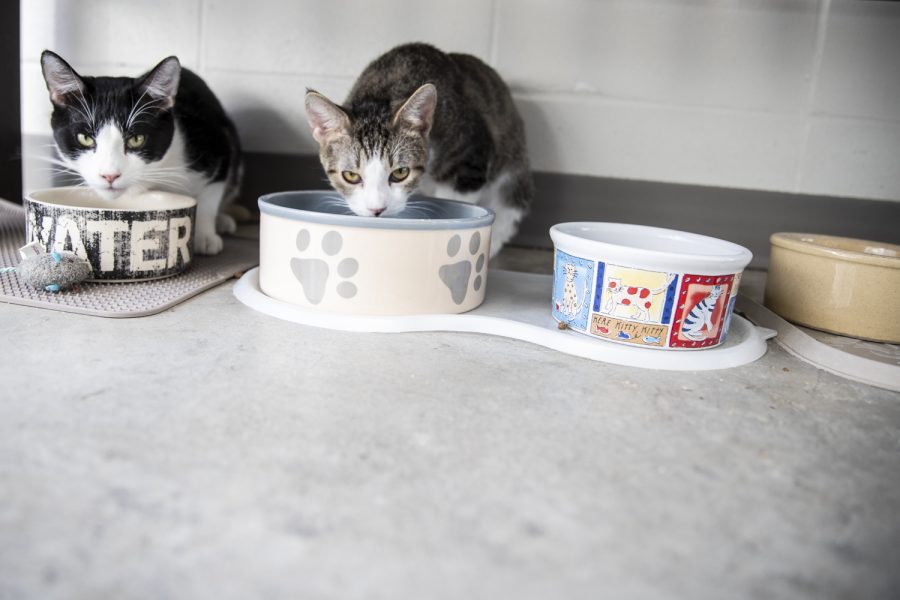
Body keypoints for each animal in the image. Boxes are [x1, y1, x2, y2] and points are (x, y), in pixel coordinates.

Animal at [40, 48, 241, 252]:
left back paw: (223, 221)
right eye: (85, 138)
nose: (110, 176)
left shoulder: (215, 145)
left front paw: (205, 236)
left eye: (136, 139)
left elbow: (211, 195)